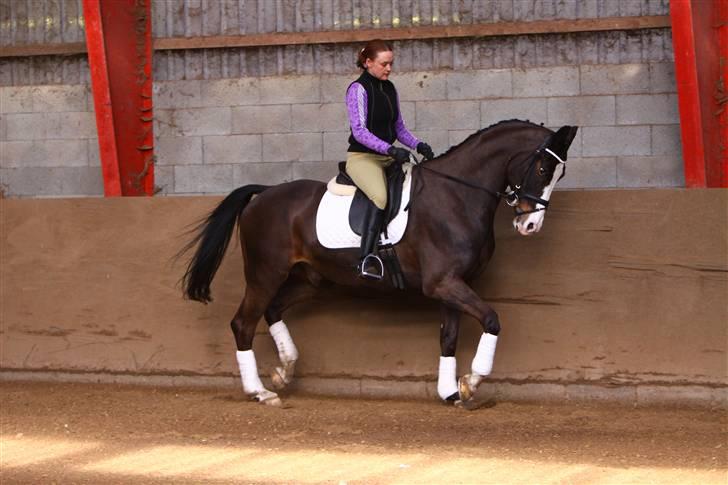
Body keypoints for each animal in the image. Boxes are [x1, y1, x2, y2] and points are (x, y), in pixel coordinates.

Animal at [181, 120, 580, 404]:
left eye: (559, 174)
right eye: (543, 169)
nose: (529, 225)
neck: (457, 194)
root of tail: (263, 194)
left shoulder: (453, 284)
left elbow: (448, 337)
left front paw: (451, 391)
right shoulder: (443, 283)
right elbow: (493, 320)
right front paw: (472, 381)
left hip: (309, 278)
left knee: (273, 310)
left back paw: (284, 371)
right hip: (265, 274)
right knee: (243, 323)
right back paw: (260, 391)